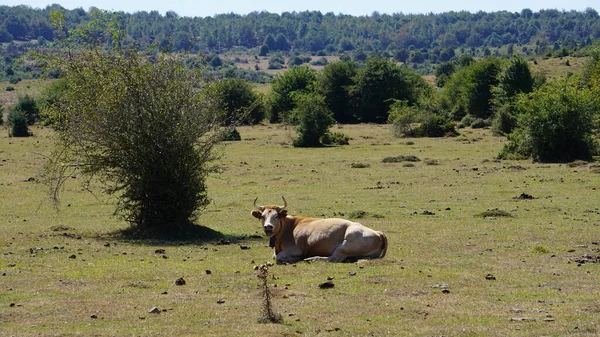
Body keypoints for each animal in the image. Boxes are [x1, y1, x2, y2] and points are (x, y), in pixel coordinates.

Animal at [250, 196, 386, 264]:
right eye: (262, 216)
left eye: (276, 216)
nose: (268, 227)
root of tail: (378, 233)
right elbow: (275, 256)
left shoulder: (295, 249)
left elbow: (278, 257)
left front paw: (293, 259)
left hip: (345, 245)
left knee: (333, 258)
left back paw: (311, 258)